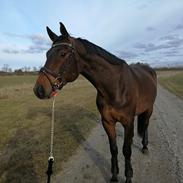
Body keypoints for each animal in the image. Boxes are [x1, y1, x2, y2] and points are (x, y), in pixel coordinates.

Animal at [33, 22, 157, 183]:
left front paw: (128, 176)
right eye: (47, 54)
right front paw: (114, 176)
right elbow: (114, 149)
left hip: (149, 109)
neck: (116, 86)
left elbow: (127, 150)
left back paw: (145, 147)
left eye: (63, 54)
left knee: (146, 125)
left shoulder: (128, 122)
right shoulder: (107, 122)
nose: (39, 89)